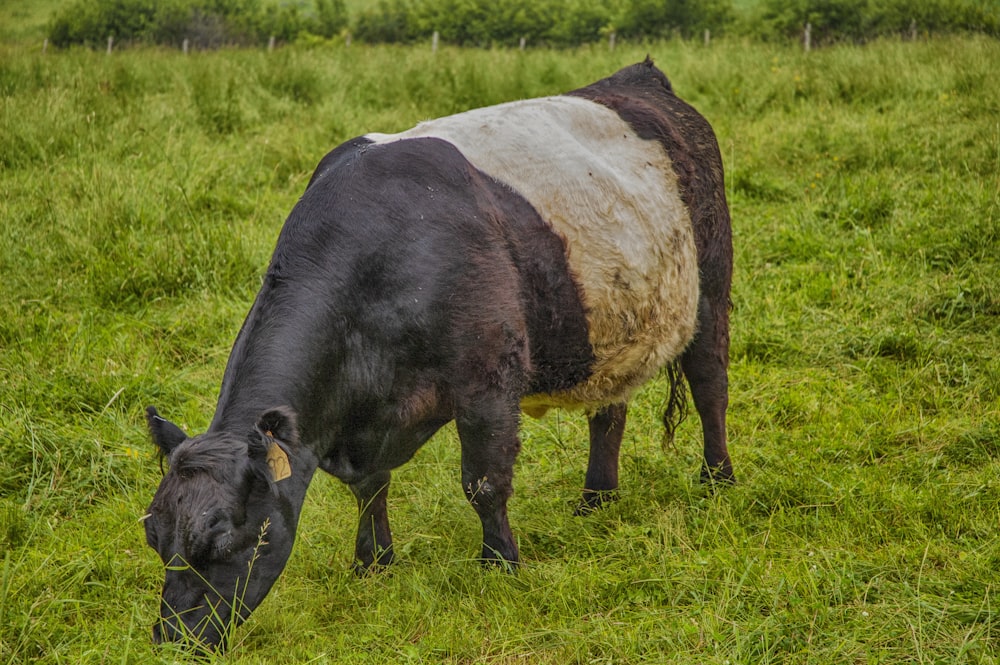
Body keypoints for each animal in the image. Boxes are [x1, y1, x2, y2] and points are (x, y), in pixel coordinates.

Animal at [141, 59, 736, 652]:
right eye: (153, 534)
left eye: (221, 539)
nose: (173, 637)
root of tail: (640, 77)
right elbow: (370, 488)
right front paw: (373, 564)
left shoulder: (488, 380)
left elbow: (484, 482)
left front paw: (500, 565)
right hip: (614, 327)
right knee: (608, 411)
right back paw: (596, 499)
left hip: (712, 285)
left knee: (710, 388)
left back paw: (717, 481)